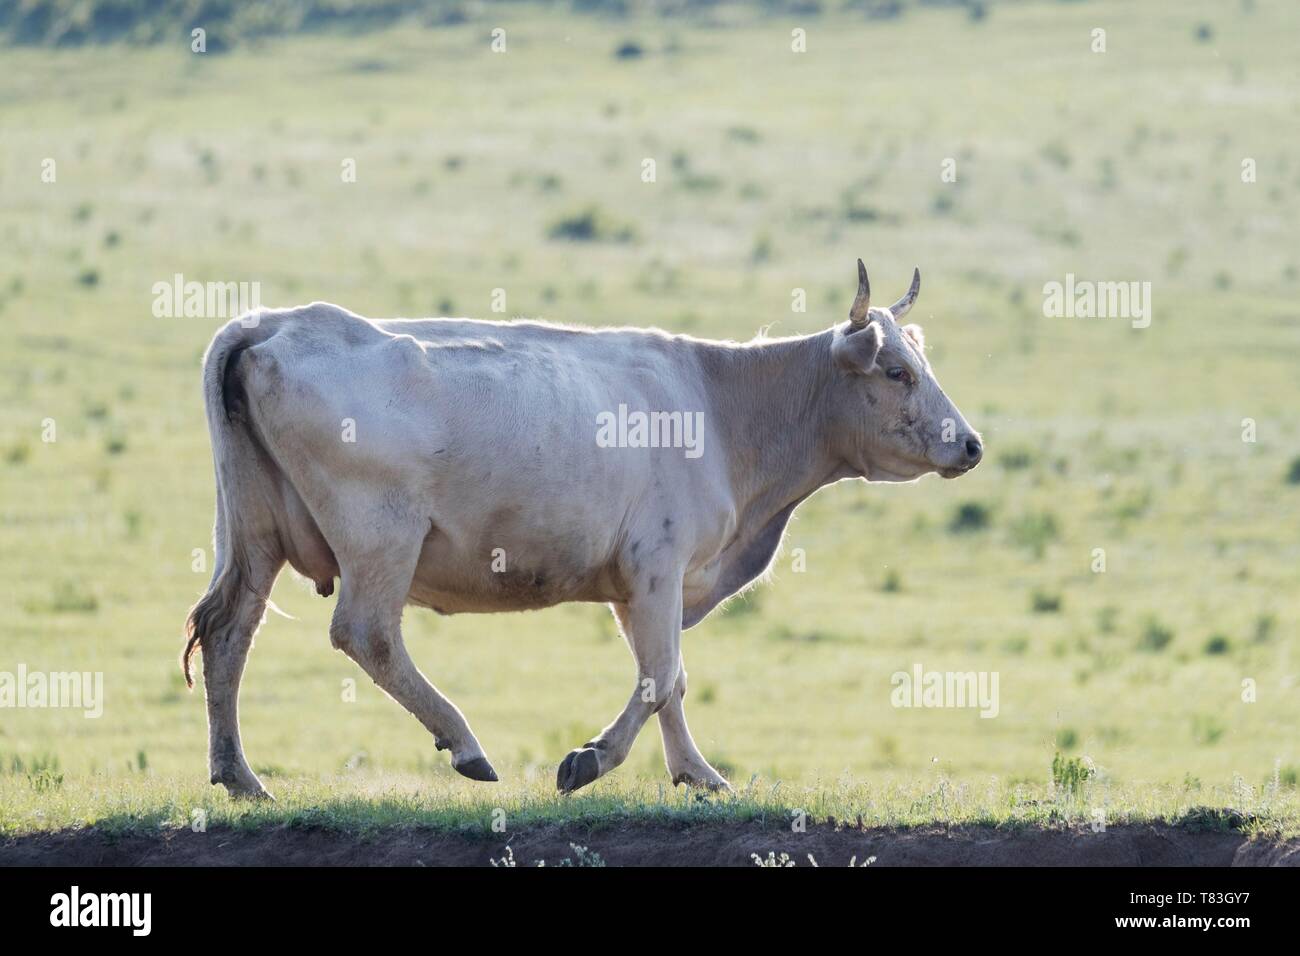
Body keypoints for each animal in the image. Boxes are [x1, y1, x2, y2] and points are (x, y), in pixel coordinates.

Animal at [183, 260, 982, 799]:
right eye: (897, 372)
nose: (971, 444)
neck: (725, 408)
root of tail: (275, 321)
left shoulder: (637, 585)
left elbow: (671, 678)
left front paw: (696, 773)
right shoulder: (659, 564)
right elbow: (659, 678)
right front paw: (589, 760)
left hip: (253, 531)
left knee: (228, 630)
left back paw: (240, 776)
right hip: (382, 537)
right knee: (367, 633)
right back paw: (465, 743)